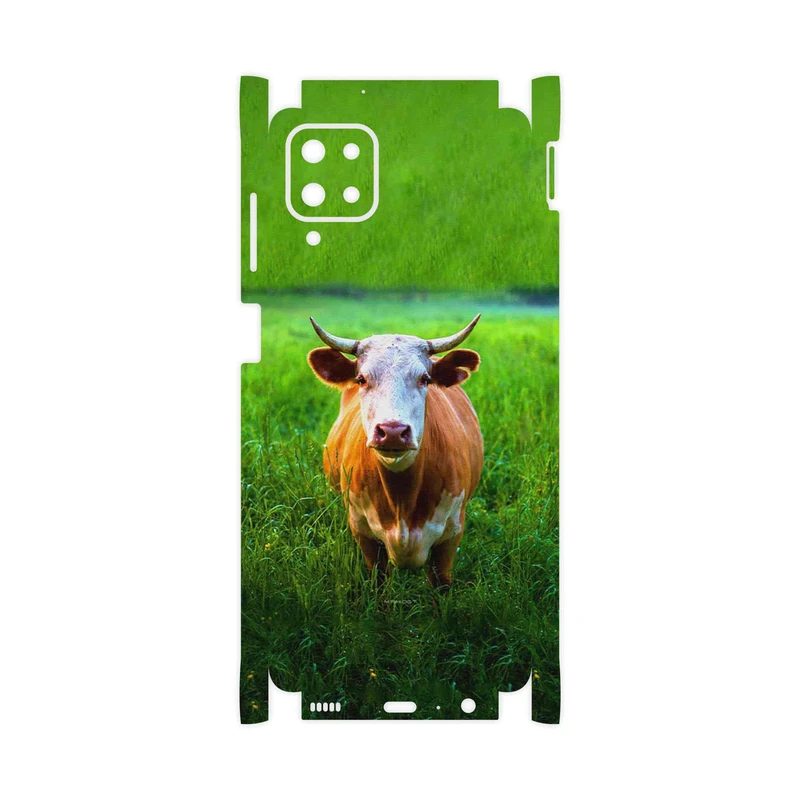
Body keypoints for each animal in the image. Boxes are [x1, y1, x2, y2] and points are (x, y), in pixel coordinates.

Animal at [307, 315, 484, 590]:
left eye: (425, 379)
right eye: (361, 379)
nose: (392, 431)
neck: (402, 499)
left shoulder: (451, 535)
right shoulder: (364, 533)